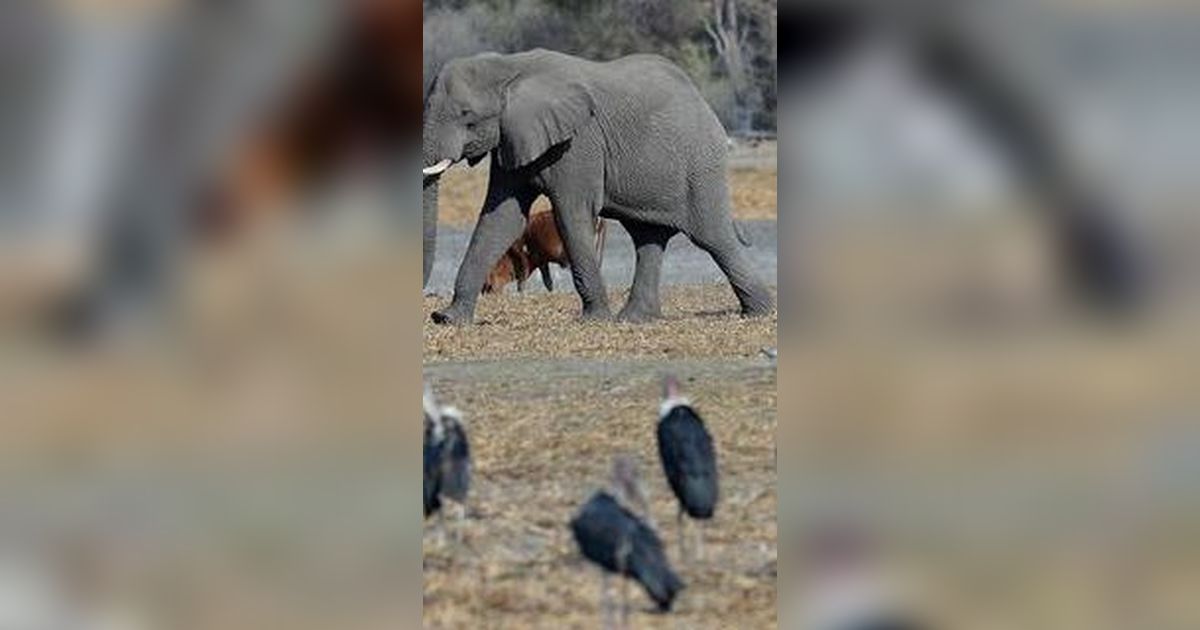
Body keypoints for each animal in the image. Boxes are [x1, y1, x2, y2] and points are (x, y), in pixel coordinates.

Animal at [422, 49, 777, 324]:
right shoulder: (512, 139)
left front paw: (593, 320)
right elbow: (501, 218)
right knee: (647, 239)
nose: (430, 309)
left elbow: (571, 214)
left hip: (701, 166)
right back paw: (634, 319)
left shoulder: (579, 143)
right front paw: (449, 319)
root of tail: (705, 103)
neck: (509, 66)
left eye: (467, 116)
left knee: (714, 238)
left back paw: (759, 313)